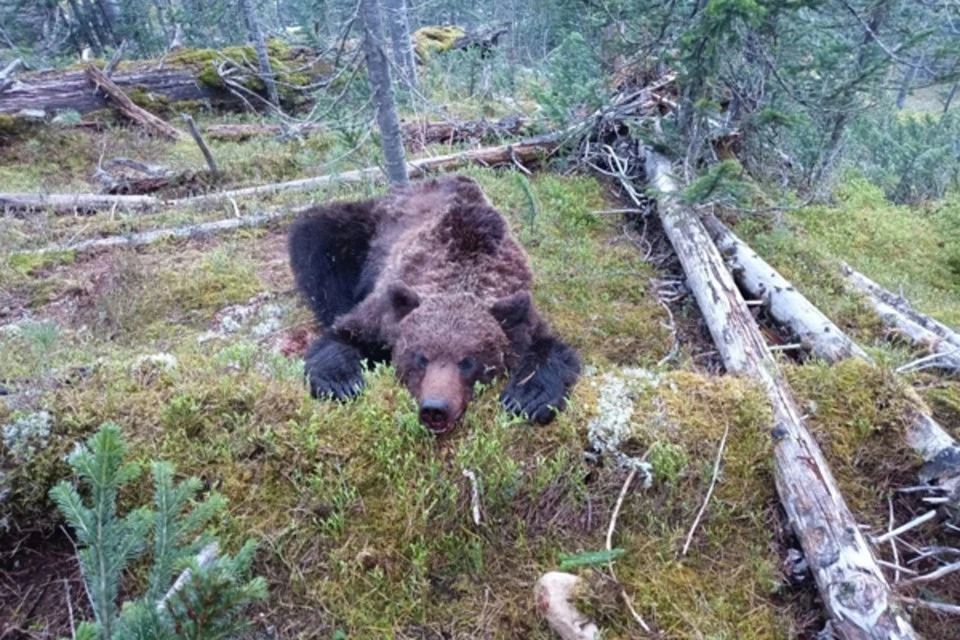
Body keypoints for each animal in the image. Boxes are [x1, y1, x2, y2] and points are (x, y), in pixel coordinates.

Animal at [288, 175, 580, 436]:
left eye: (468, 361)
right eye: (421, 357)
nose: (435, 408)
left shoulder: (520, 311)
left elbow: (552, 350)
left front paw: (527, 398)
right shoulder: (385, 310)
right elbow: (343, 334)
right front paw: (341, 382)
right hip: (365, 229)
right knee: (317, 237)